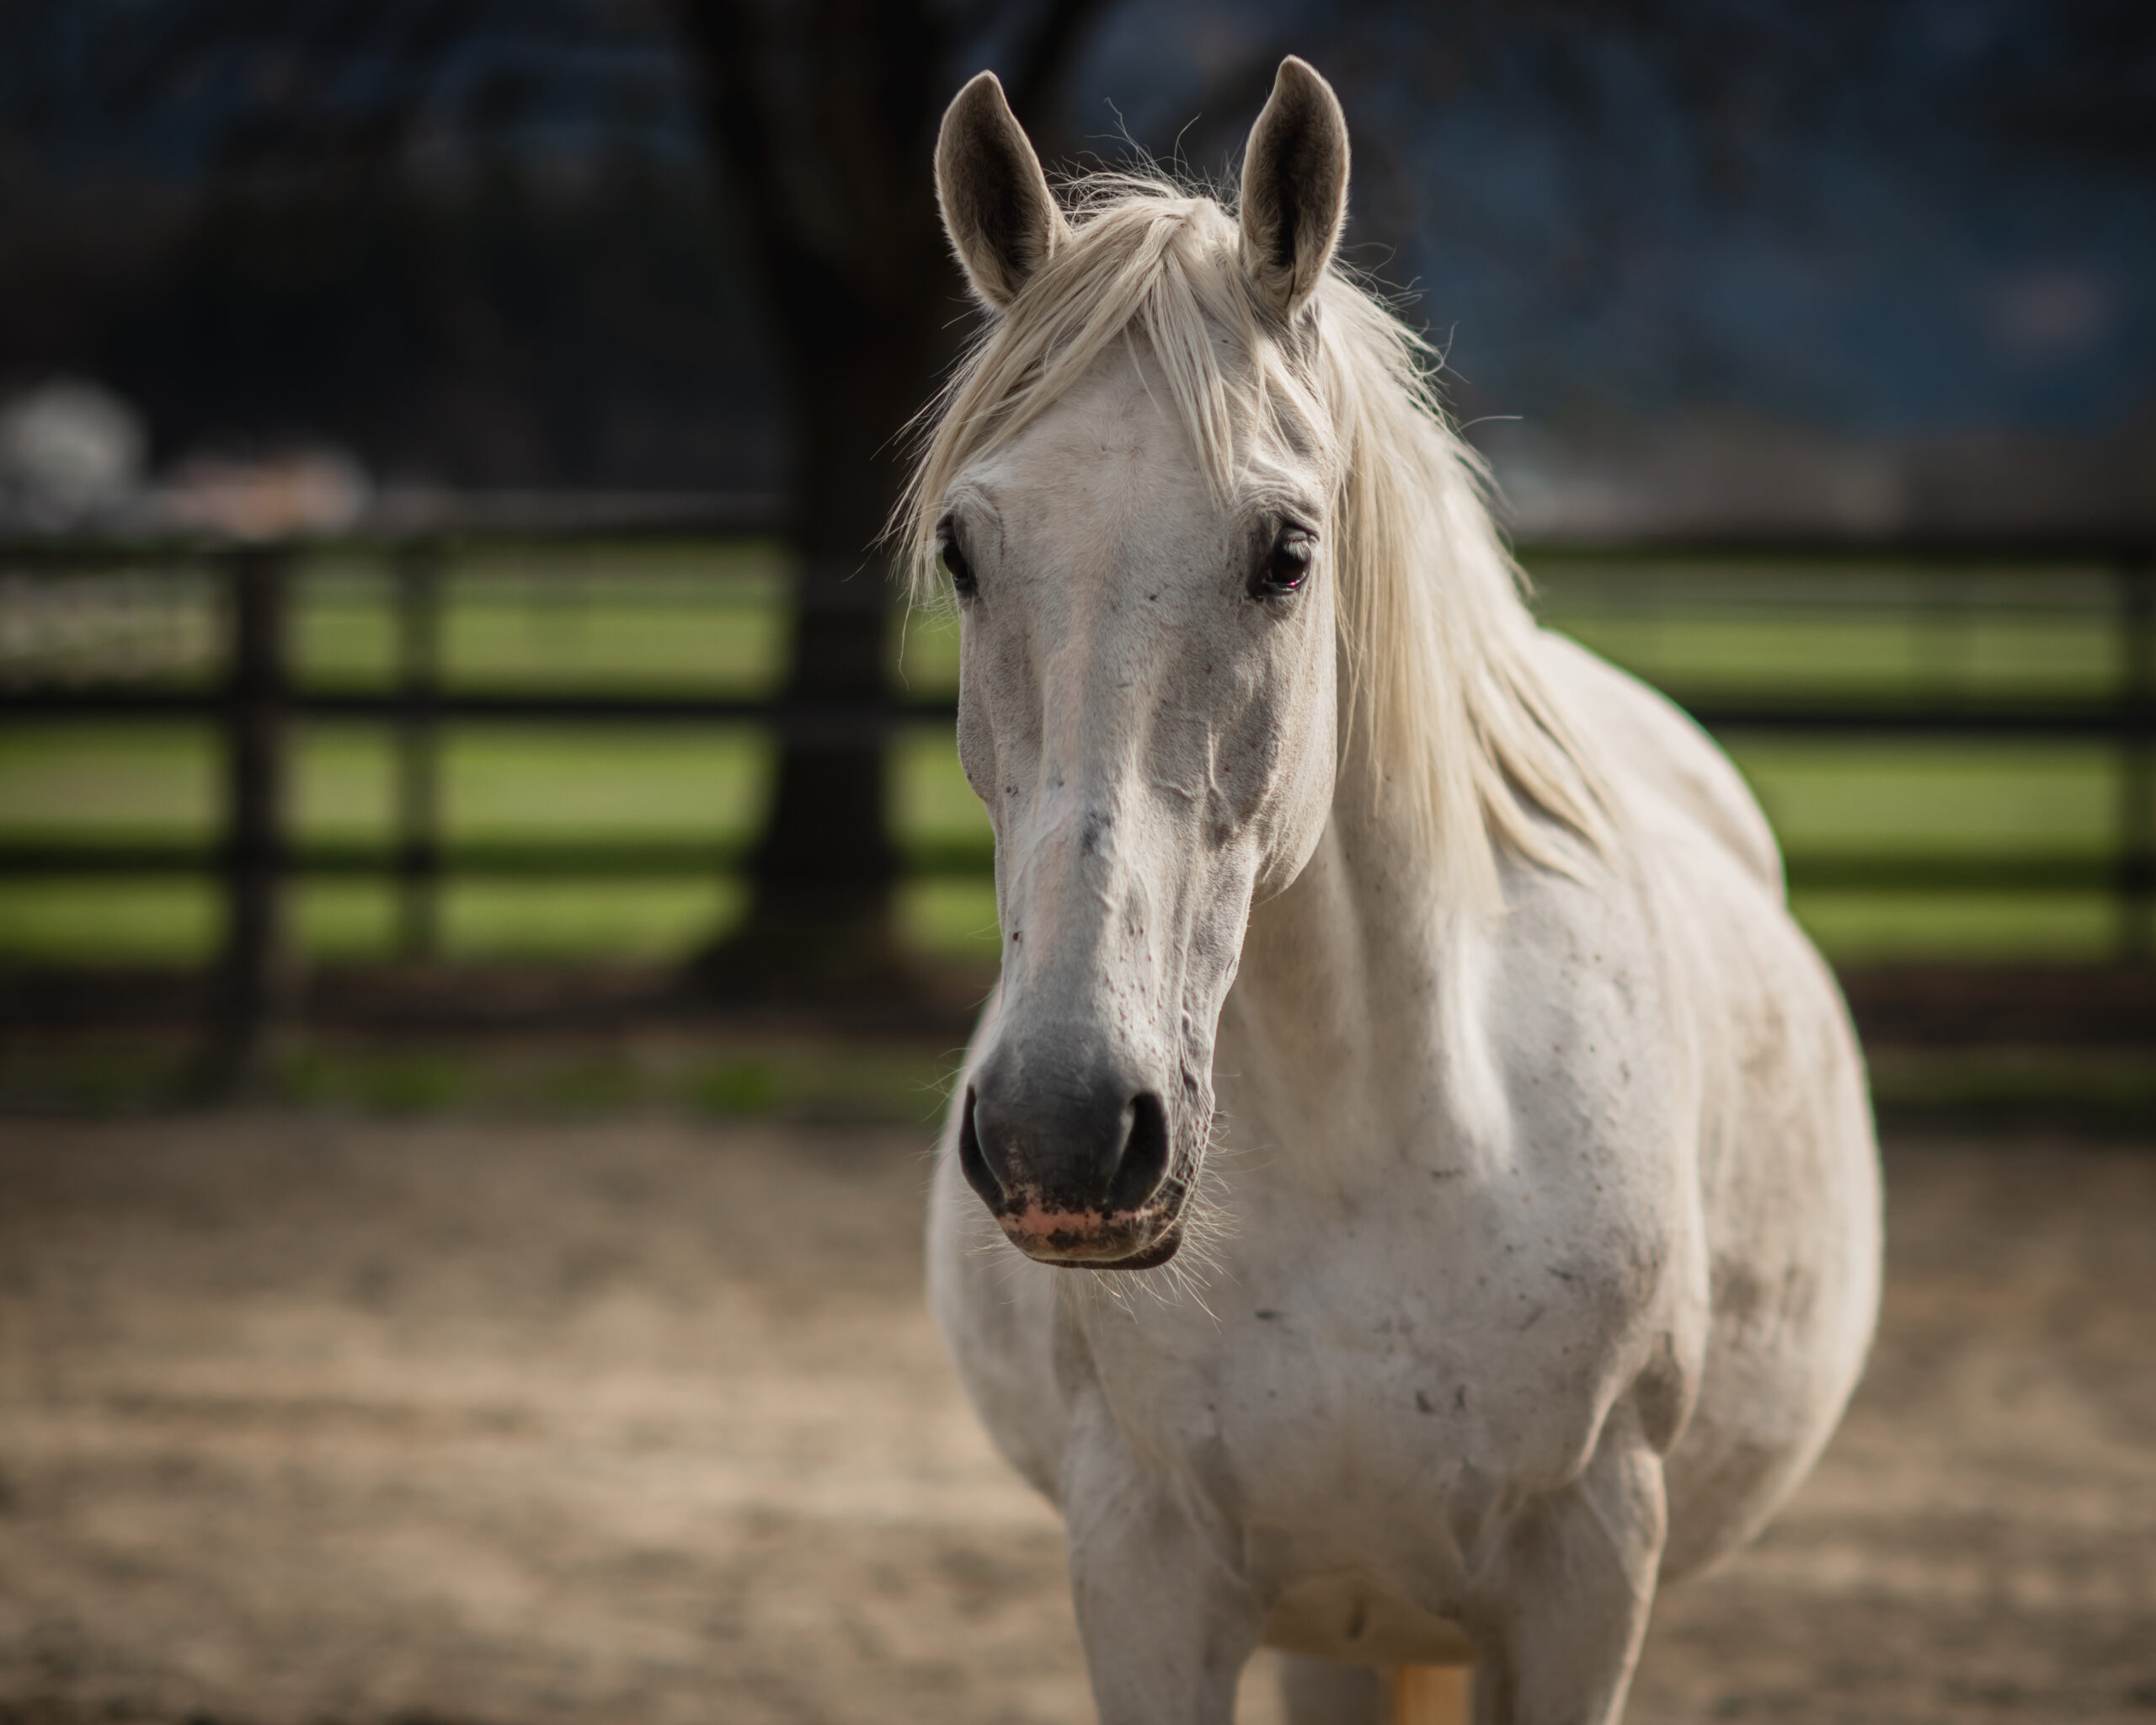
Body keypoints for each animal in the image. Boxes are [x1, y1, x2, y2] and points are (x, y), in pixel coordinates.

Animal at [905, 56, 1871, 1725]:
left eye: (1288, 552)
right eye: (966, 548)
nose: (1065, 1132)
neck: (1378, 1143)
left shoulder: (1586, 1575)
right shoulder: (1143, 1570)